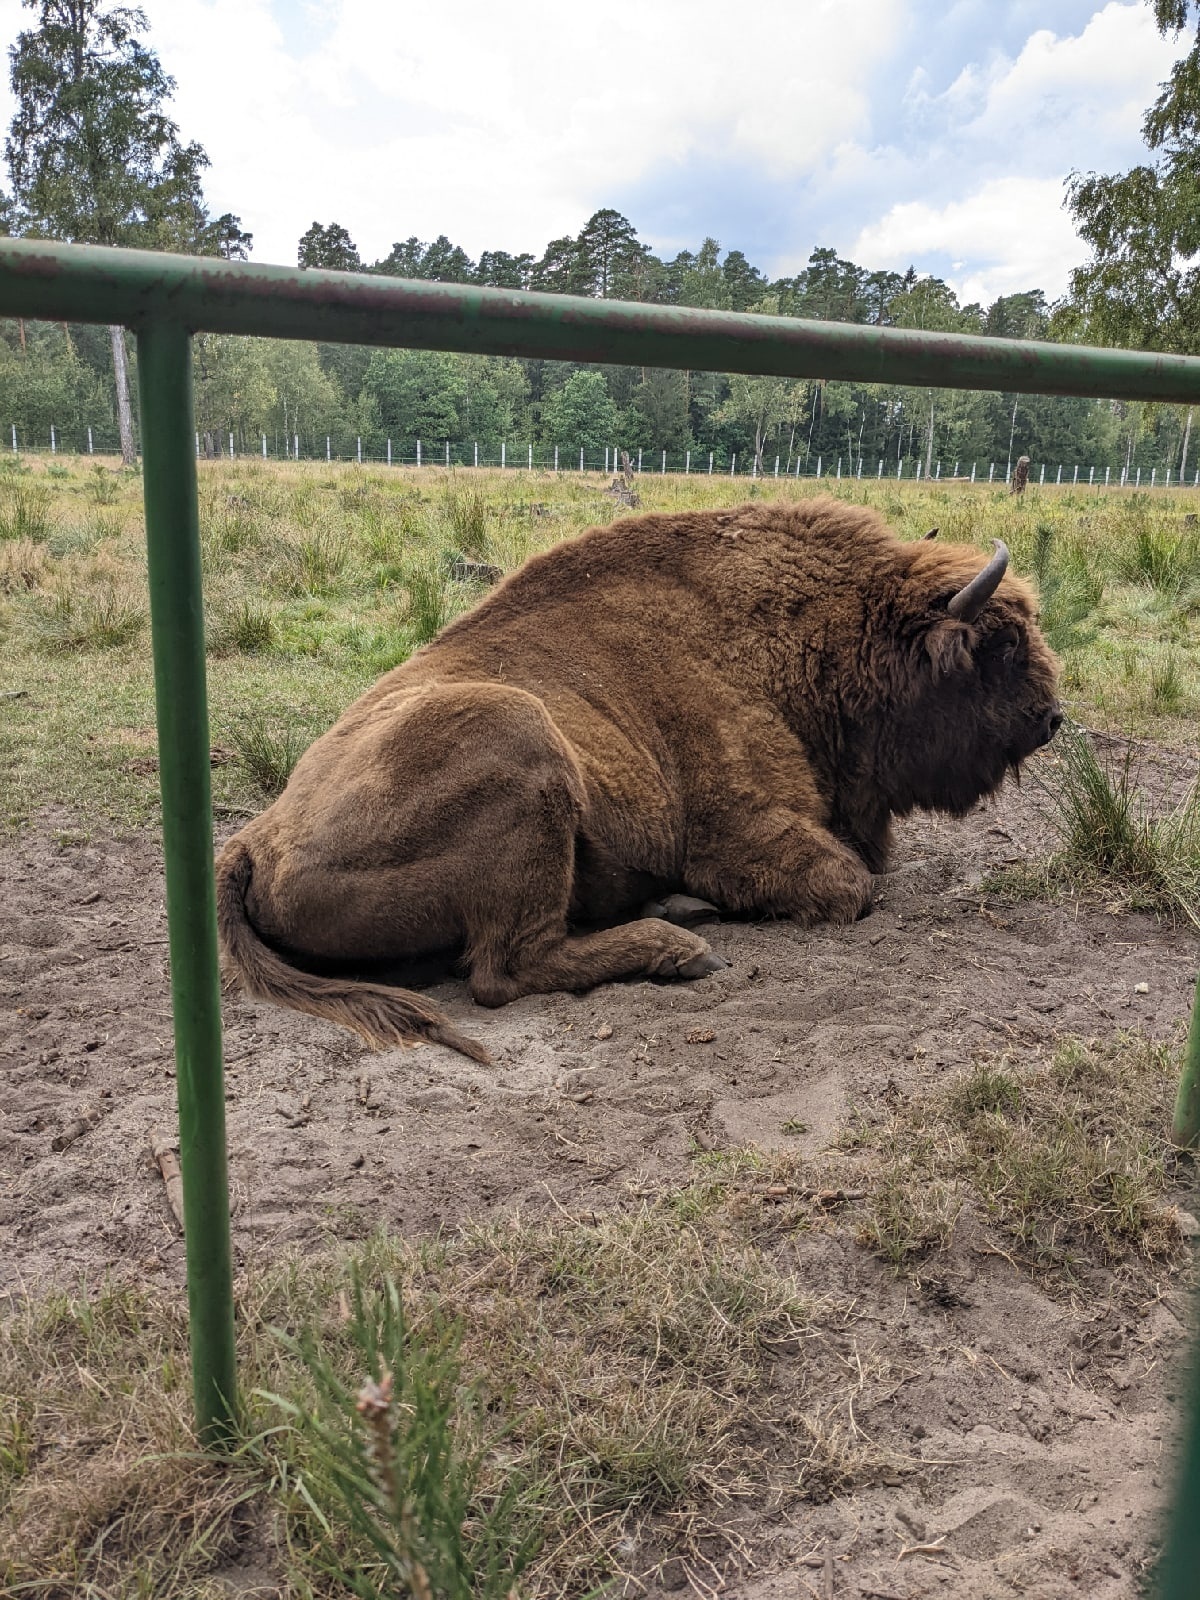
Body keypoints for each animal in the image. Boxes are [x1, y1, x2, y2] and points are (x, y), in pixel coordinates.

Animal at [214, 492, 1062, 1056]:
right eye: (1001, 645)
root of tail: (253, 840)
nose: (1052, 718)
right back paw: (680, 946)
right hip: (521, 744)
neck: (809, 636)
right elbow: (849, 885)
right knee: (504, 970)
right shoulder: (738, 832)